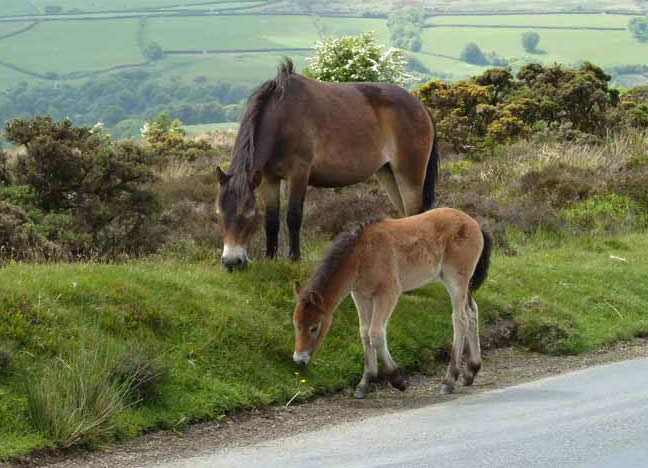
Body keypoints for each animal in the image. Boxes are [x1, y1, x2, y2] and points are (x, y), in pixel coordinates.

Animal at [215, 58, 438, 270]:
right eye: (220, 214)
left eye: (248, 214)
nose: (231, 262)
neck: (281, 118)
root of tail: (421, 106)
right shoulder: (269, 179)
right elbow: (271, 221)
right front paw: (271, 258)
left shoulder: (299, 174)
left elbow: (293, 217)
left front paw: (294, 258)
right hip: (388, 174)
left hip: (409, 175)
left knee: (417, 213)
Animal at [292, 208, 492, 398]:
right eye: (295, 325)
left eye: (314, 327)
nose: (299, 360)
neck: (362, 255)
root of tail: (473, 223)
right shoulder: (360, 296)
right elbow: (364, 333)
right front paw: (364, 383)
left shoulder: (388, 293)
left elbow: (376, 333)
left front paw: (397, 379)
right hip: (462, 282)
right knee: (472, 312)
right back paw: (471, 371)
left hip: (455, 278)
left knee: (460, 319)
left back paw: (449, 380)